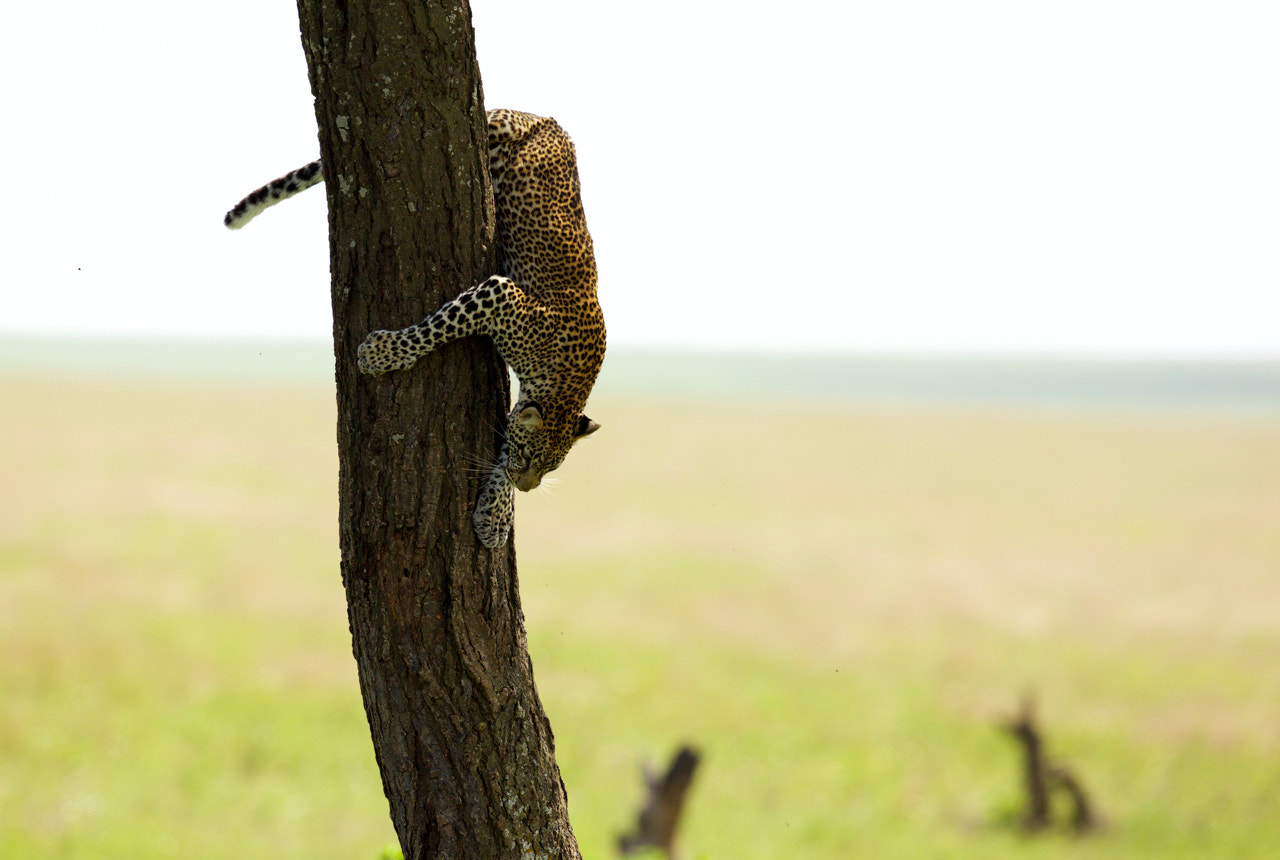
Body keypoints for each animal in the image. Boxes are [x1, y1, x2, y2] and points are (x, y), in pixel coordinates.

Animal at [225, 109, 605, 549]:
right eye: (530, 458)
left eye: (550, 469)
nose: (527, 487)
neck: (568, 381)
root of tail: (542, 117)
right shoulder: (499, 294)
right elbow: (436, 328)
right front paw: (379, 354)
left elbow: (501, 446)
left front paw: (495, 515)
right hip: (498, 127)